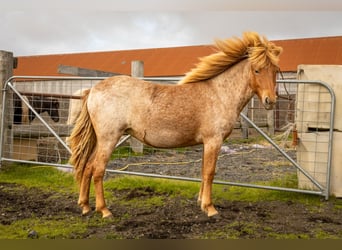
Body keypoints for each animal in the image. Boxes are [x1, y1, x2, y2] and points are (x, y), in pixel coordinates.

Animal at [68, 32, 282, 218]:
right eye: (257, 69)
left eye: (275, 70)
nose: (270, 101)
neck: (218, 93)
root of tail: (93, 90)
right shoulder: (214, 141)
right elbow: (210, 173)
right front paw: (210, 208)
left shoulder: (206, 144)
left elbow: (203, 171)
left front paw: (201, 203)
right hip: (109, 139)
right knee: (98, 170)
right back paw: (104, 211)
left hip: (100, 140)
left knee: (87, 167)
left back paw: (85, 206)